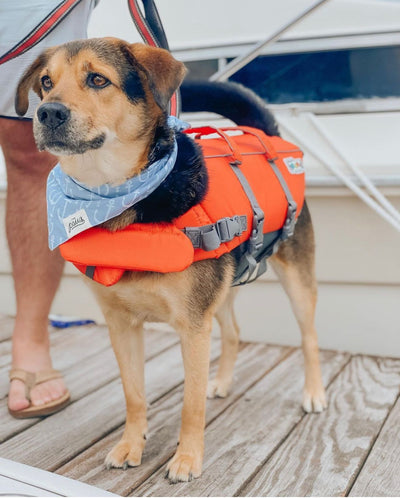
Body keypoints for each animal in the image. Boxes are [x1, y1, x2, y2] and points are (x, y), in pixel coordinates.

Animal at [16, 38, 328, 482]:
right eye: (45, 82)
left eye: (98, 79)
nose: (48, 112)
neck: (117, 197)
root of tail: (265, 134)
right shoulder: (121, 325)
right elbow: (134, 395)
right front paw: (131, 446)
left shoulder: (192, 326)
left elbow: (190, 404)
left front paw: (187, 458)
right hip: (225, 284)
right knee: (234, 331)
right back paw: (223, 381)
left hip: (297, 278)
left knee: (309, 337)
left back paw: (314, 393)